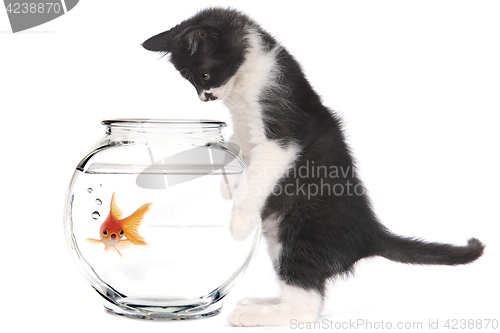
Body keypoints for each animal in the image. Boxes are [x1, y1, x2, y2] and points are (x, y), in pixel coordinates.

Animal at [143, 7, 486, 324]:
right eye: (190, 81)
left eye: (203, 76)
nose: (205, 98)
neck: (246, 84)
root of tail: (369, 232)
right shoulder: (244, 133)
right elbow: (234, 150)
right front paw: (229, 185)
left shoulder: (279, 135)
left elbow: (259, 173)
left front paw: (239, 220)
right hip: (281, 238)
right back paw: (264, 302)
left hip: (302, 234)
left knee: (305, 307)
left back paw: (256, 315)